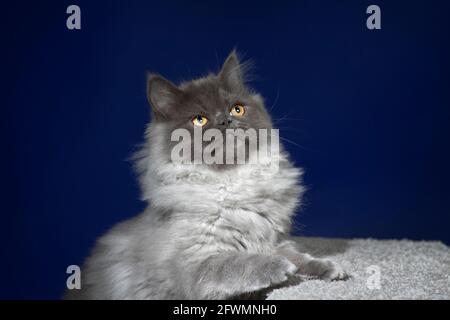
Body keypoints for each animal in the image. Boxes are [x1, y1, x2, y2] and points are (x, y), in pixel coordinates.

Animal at [65, 50, 348, 300]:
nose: (225, 121)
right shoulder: (196, 265)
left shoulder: (276, 239)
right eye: (199, 120)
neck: (232, 182)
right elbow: (239, 263)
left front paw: (329, 268)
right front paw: (279, 267)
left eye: (237, 109)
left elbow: (300, 257)